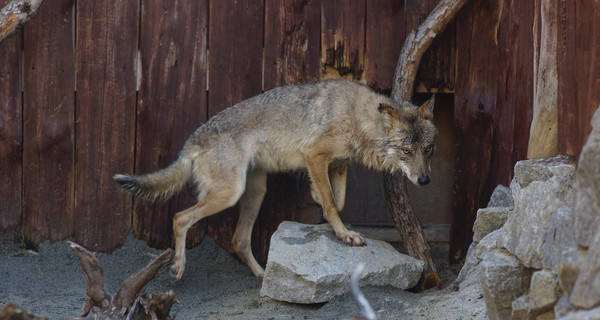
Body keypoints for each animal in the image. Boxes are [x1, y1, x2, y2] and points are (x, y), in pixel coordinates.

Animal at [113, 80, 436, 280]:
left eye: (428, 149)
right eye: (407, 151)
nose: (424, 180)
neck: (358, 117)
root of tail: (193, 138)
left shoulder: (337, 164)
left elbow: (338, 200)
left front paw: (317, 197)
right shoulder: (313, 155)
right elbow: (333, 205)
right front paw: (344, 235)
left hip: (255, 192)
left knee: (239, 241)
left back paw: (261, 275)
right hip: (229, 193)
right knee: (181, 218)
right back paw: (178, 268)